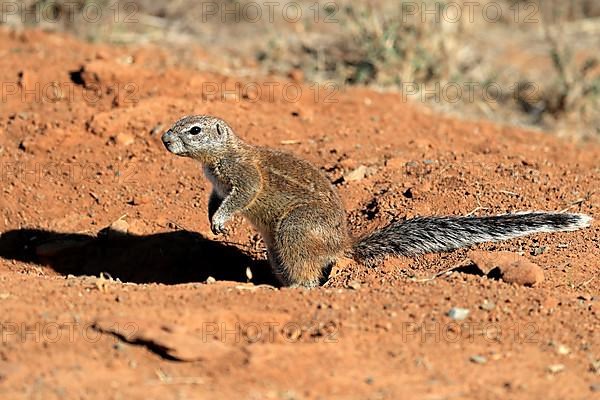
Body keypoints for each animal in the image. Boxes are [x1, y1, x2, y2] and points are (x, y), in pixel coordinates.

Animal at [162, 115, 592, 288]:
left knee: (308, 273)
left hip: (293, 230)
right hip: (276, 247)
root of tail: (342, 244)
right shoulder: (217, 186)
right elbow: (214, 200)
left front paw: (221, 221)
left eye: (194, 129)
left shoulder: (245, 178)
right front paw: (211, 218)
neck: (220, 157)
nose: (165, 139)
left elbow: (243, 196)